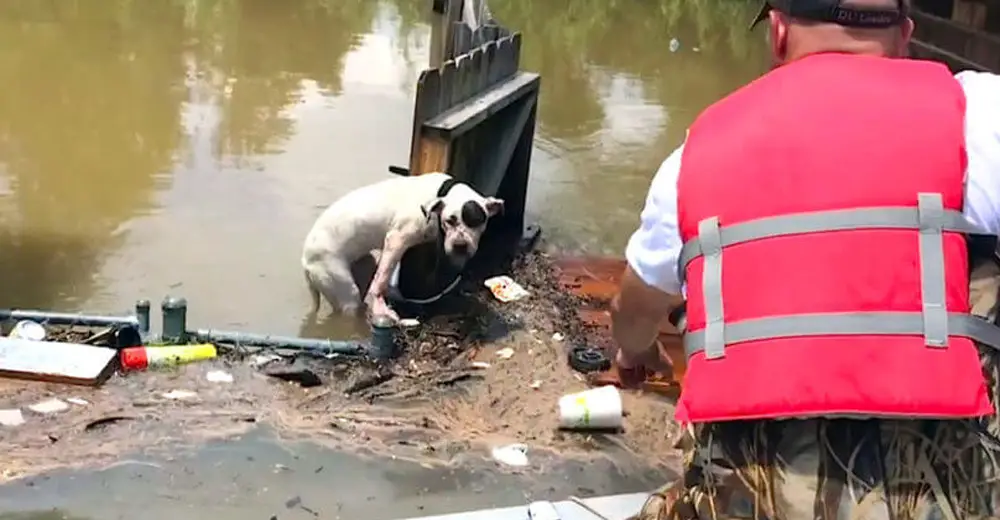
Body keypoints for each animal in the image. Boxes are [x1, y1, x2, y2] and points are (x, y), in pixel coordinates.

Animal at [300, 173, 504, 320]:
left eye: (476, 221)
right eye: (449, 220)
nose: (460, 246)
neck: (442, 193)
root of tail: (305, 260)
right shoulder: (396, 240)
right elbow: (382, 280)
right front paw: (381, 307)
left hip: (364, 264)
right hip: (343, 290)